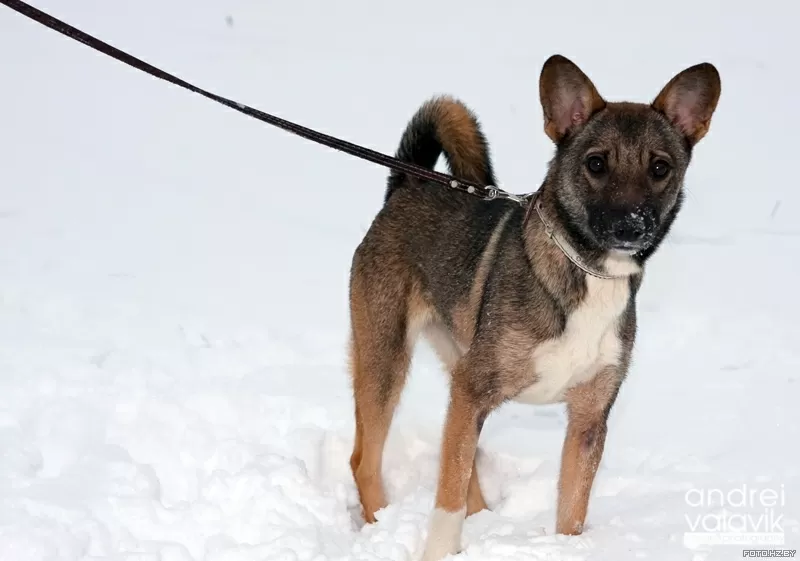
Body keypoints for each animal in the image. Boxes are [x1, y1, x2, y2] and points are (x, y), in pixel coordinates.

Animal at [346, 53, 720, 560]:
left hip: (453, 362)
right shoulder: (473, 390)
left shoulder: (588, 420)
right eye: (596, 163)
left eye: (660, 168)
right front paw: (439, 551)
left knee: (462, 467)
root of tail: (406, 184)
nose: (631, 225)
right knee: (366, 461)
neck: (588, 273)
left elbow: (571, 511)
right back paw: (379, 526)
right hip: (386, 358)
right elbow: (446, 499)